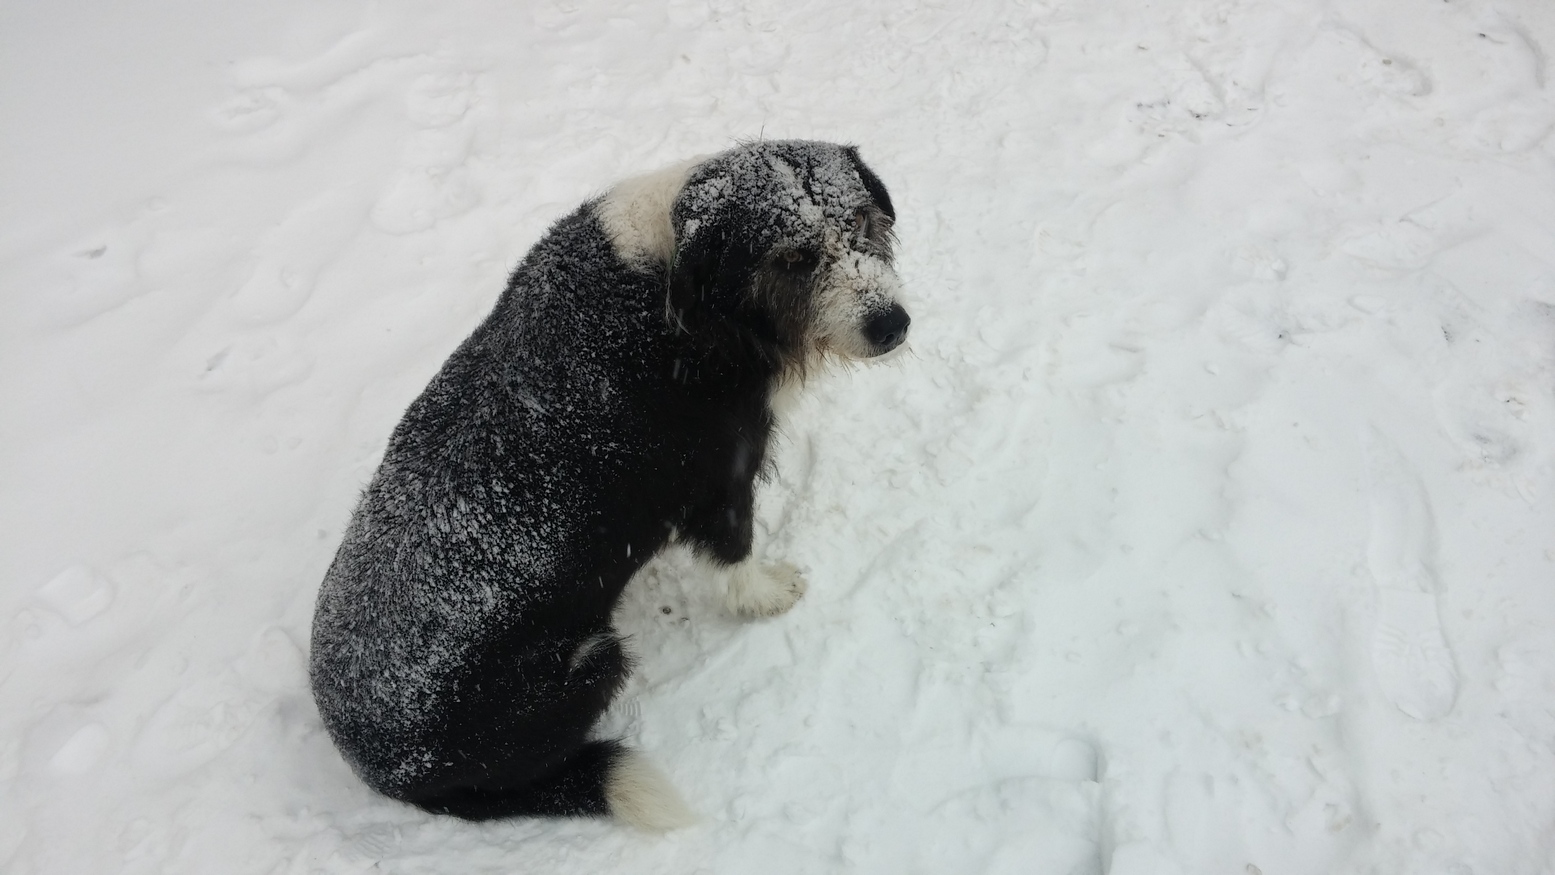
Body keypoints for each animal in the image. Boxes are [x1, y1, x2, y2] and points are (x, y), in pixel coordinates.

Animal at [307, 140, 908, 833]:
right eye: (793, 259)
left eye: (863, 220)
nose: (893, 325)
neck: (691, 281)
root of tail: (379, 770)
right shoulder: (721, 475)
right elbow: (735, 556)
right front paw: (765, 595)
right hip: (592, 661)